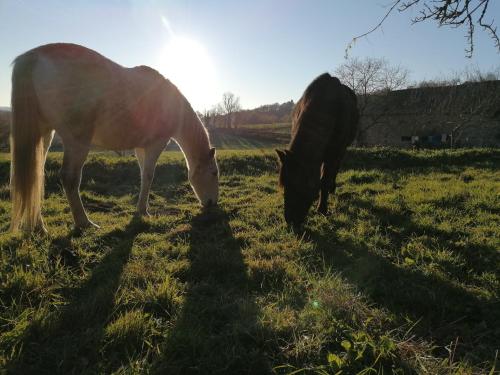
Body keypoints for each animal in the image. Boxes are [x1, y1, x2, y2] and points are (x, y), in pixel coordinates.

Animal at [10, 42, 218, 234]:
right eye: (214, 173)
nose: (213, 204)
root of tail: (35, 56)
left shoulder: (140, 147)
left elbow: (143, 175)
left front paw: (142, 209)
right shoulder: (156, 144)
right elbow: (149, 175)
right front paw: (143, 211)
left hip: (44, 134)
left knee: (36, 176)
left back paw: (38, 226)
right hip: (77, 140)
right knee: (69, 178)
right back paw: (84, 222)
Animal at [276, 72, 358, 228]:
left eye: (299, 184)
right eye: (284, 184)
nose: (291, 221)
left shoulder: (334, 151)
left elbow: (324, 180)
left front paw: (322, 209)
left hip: (341, 150)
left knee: (335, 168)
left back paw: (332, 187)